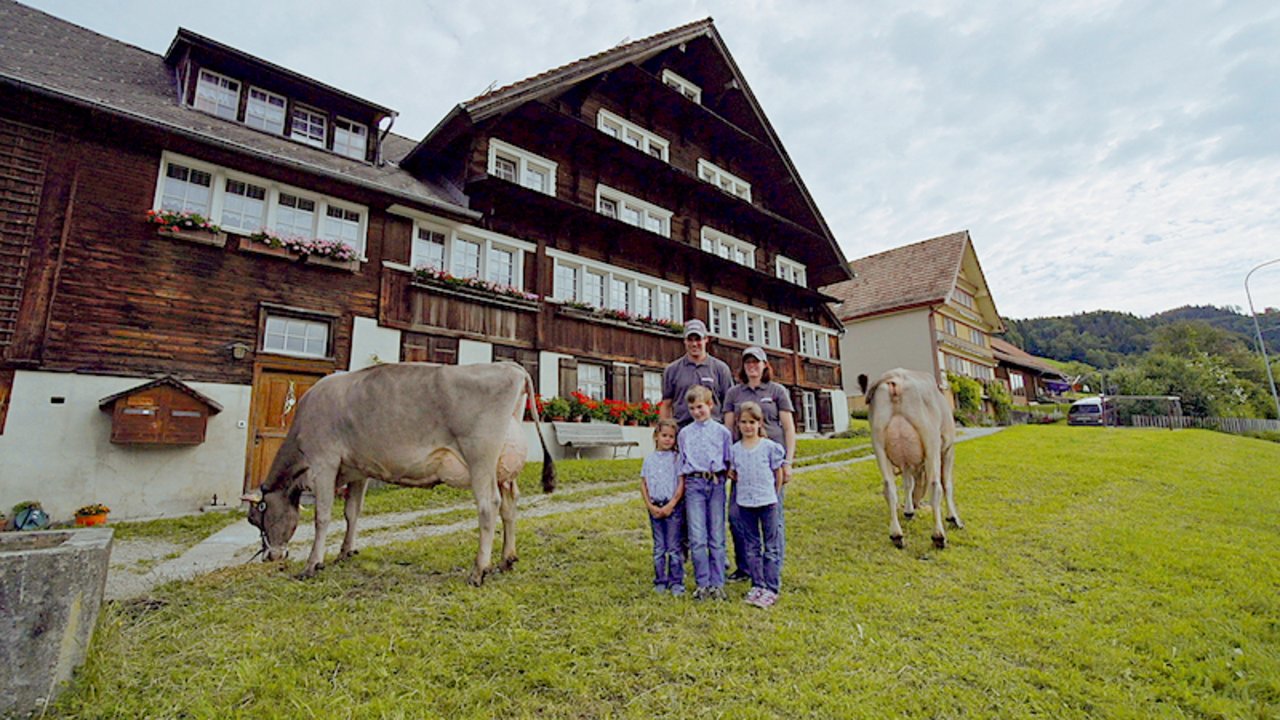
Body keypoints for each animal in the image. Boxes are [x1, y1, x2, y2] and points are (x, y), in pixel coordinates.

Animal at [244, 358, 555, 584]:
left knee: (489, 505)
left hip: (480, 456)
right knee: (510, 504)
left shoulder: (324, 462)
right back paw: (507, 560)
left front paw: (312, 565)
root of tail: (509, 366)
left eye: (255, 518)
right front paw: (346, 552)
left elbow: (322, 517)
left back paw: (479, 570)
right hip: (503, 468)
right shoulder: (359, 470)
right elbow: (352, 512)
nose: (270, 556)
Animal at [860, 366, 962, 545]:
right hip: (931, 442)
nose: (917, 504)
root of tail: (895, 376)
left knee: (889, 487)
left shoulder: (905, 461)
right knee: (935, 486)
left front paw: (908, 511)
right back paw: (938, 535)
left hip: (878, 443)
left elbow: (908, 483)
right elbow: (947, 484)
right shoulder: (948, 450)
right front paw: (953, 518)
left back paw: (896, 534)